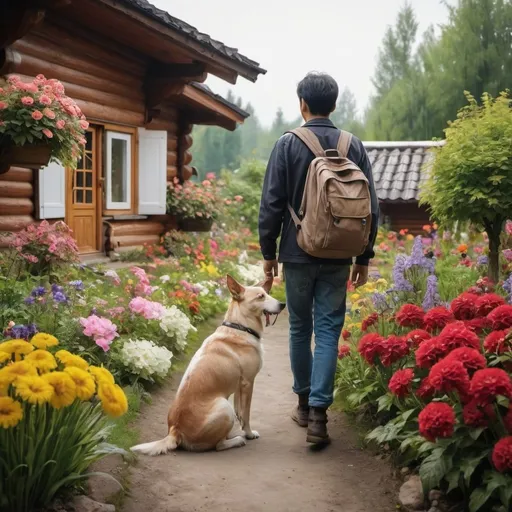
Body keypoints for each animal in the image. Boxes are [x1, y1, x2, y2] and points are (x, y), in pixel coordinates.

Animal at [130, 274, 286, 454]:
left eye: (267, 293)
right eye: (261, 296)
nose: (283, 304)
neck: (239, 327)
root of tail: (175, 431)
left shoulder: (240, 385)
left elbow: (240, 410)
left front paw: (241, 426)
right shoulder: (248, 382)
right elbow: (246, 414)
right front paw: (248, 433)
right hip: (224, 406)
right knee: (218, 445)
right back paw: (237, 440)